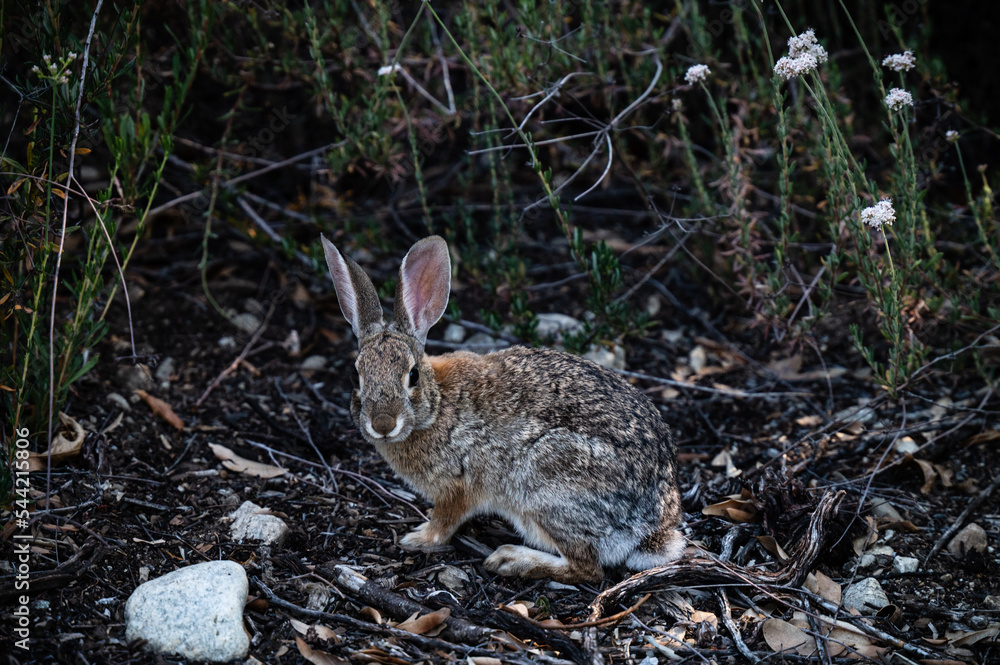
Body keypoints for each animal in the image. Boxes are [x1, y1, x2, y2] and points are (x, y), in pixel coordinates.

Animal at [322, 234, 683, 583]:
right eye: (356, 375)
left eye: (412, 375)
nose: (383, 424)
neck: (437, 407)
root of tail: (652, 525)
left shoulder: (458, 485)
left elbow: (445, 520)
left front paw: (419, 538)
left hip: (546, 487)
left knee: (587, 569)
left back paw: (511, 559)